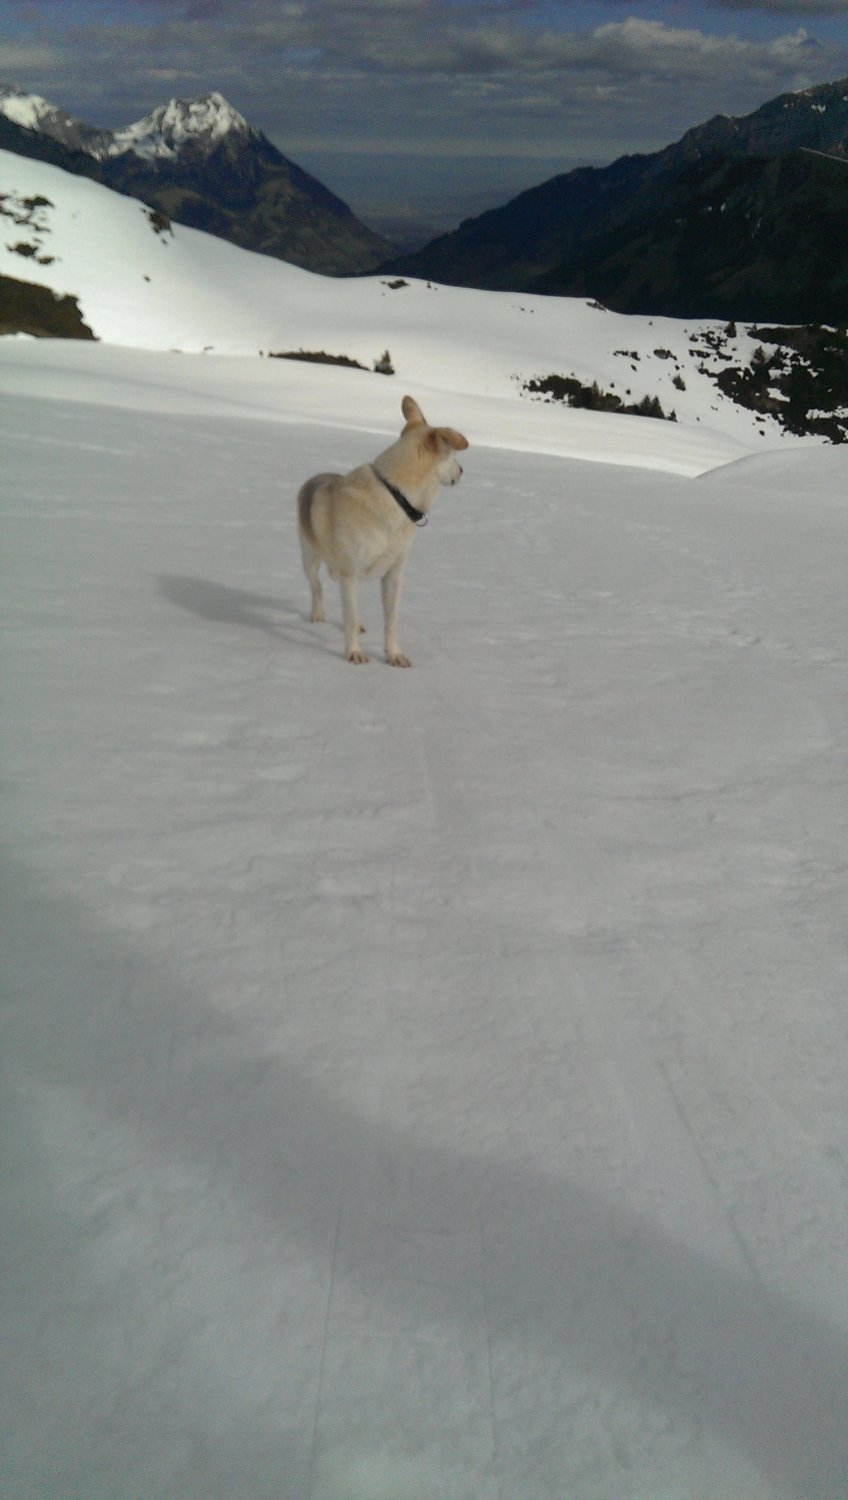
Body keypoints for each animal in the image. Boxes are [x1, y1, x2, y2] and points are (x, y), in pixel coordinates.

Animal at [297, 395, 468, 666]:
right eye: (451, 455)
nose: (462, 471)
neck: (395, 495)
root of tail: (315, 478)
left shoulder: (393, 576)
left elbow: (391, 620)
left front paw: (393, 655)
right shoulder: (350, 573)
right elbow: (349, 616)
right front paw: (354, 652)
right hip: (310, 560)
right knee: (318, 587)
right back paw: (318, 615)